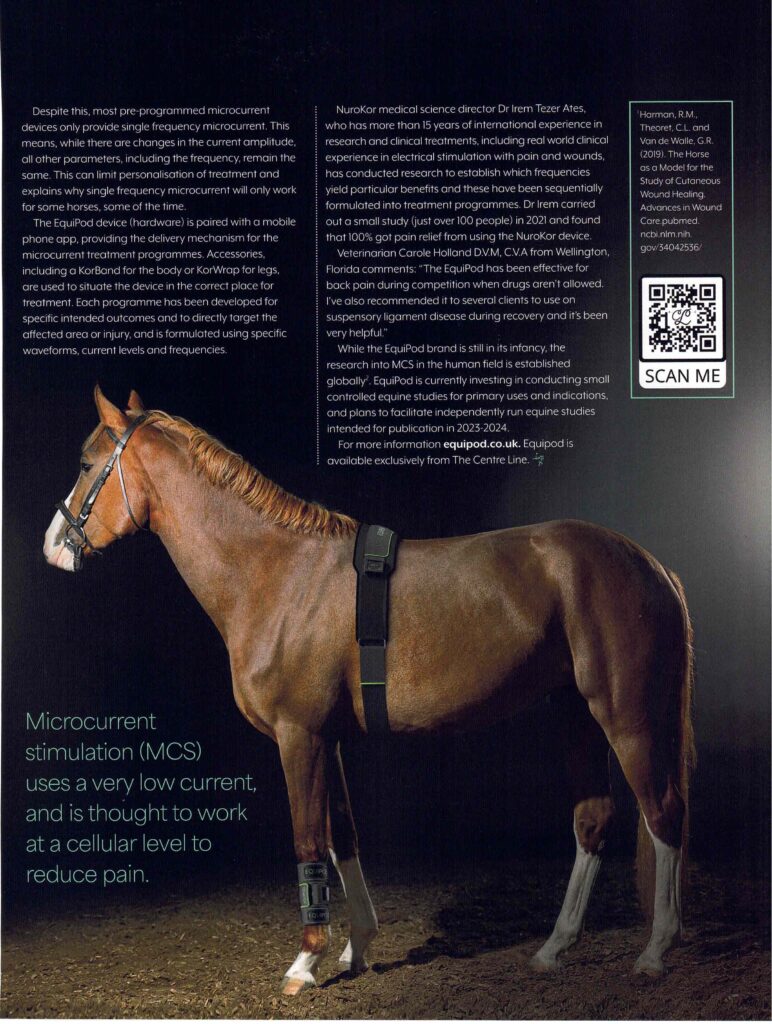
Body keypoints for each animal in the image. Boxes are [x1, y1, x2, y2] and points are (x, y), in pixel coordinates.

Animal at [44, 386, 695, 994]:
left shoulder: (298, 737)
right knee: (594, 819)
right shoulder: (327, 739)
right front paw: (356, 949)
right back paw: (554, 948)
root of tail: (652, 564)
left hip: (626, 716)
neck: (277, 572)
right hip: (576, 713)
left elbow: (309, 840)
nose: (53, 546)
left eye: (85, 463)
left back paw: (655, 951)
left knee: (663, 813)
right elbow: (343, 838)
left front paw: (305, 962)